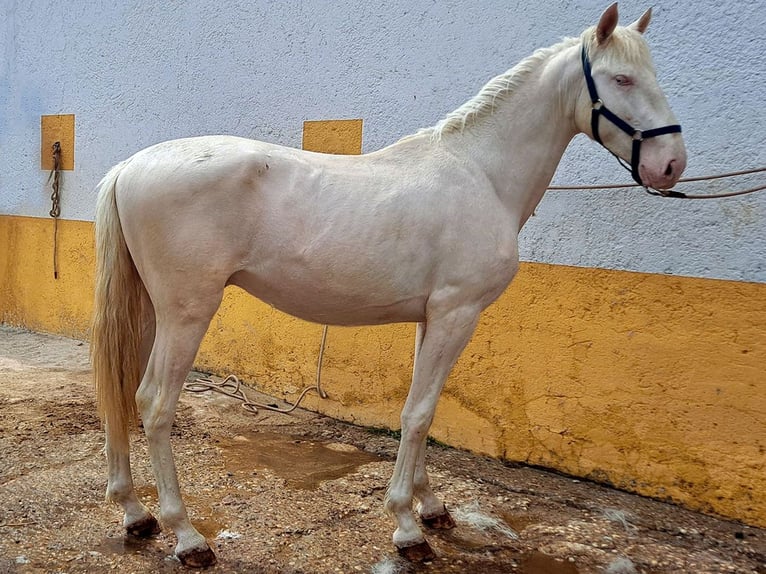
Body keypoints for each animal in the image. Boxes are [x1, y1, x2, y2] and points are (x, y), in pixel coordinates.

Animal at [92, 3, 686, 567]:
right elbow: (417, 414)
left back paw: (135, 513)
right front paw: (407, 527)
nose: (671, 164)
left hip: (153, 310)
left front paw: (431, 506)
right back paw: (187, 536)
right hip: (187, 312)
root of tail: (130, 166)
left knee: (122, 391)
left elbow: (426, 409)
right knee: (154, 404)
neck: (480, 174)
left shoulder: (434, 317)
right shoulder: (457, 313)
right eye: (621, 79)